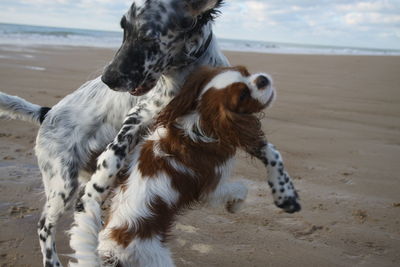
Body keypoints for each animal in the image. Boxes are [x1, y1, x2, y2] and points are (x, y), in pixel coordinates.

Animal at [70, 66, 298, 266]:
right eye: (242, 95)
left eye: (245, 72)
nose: (262, 80)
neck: (199, 122)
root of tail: (111, 252)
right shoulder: (212, 187)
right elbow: (241, 187)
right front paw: (236, 205)